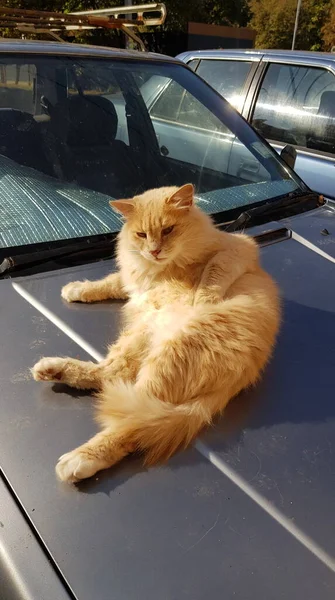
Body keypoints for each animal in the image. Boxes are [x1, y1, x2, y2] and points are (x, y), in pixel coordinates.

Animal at [32, 183, 280, 482]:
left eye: (168, 230)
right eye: (141, 235)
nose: (154, 251)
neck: (164, 269)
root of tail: (246, 373)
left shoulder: (238, 248)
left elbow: (213, 274)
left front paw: (202, 300)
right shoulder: (134, 278)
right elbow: (110, 282)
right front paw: (77, 289)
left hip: (167, 355)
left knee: (129, 422)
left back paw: (80, 459)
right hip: (140, 339)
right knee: (109, 374)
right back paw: (52, 369)